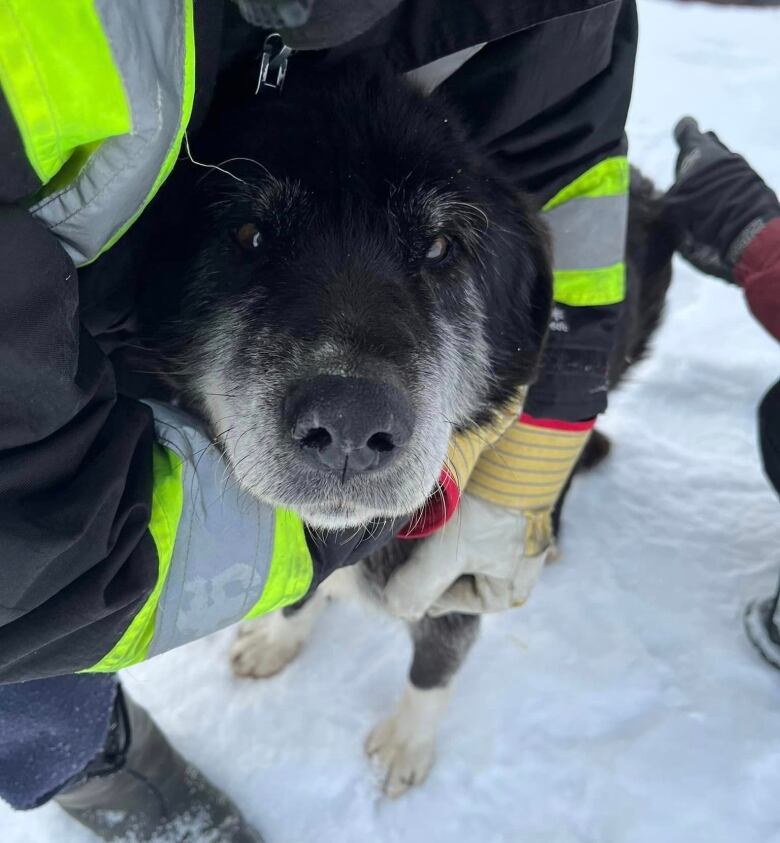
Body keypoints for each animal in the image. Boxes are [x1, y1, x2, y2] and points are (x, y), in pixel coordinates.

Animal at [91, 57, 676, 796]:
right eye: (250, 235)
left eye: (441, 246)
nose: (349, 424)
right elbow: (302, 586)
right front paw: (282, 637)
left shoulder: (453, 574)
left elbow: (437, 661)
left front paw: (405, 743)